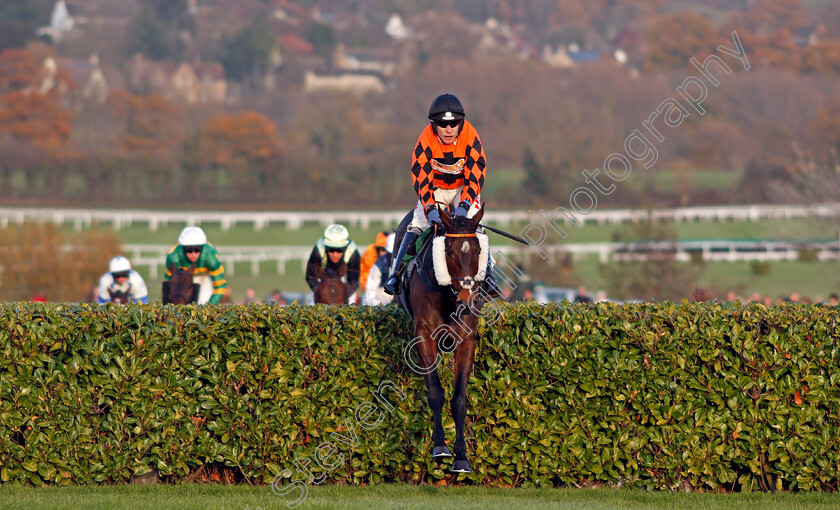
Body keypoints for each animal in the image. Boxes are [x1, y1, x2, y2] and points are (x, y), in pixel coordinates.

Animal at [396, 204, 488, 474]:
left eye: (478, 249)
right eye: (448, 250)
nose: (467, 300)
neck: (450, 296)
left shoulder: (466, 339)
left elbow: (459, 399)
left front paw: (462, 458)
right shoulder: (424, 334)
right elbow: (436, 392)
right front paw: (440, 447)